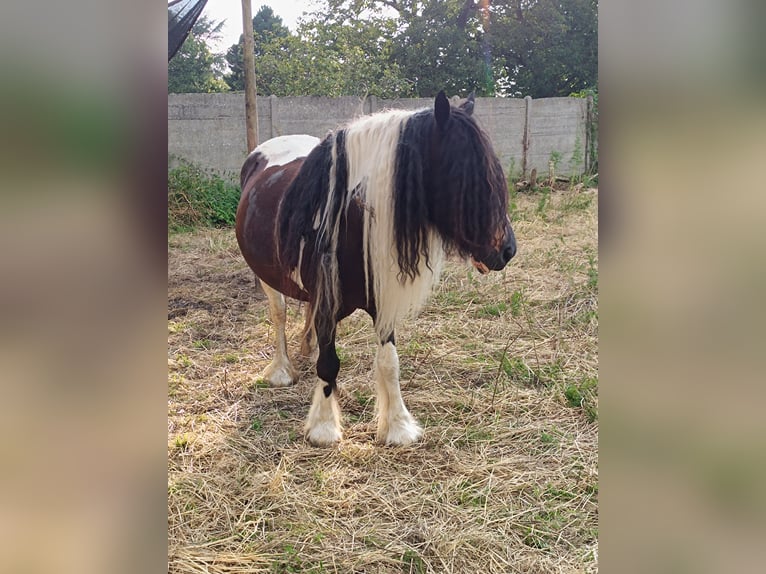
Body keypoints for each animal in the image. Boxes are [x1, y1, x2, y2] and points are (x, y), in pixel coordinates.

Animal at [237, 92, 520, 448]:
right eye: (463, 176)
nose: (507, 250)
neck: (350, 220)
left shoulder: (381, 302)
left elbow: (389, 363)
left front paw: (398, 426)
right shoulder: (327, 302)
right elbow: (328, 363)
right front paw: (324, 426)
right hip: (269, 280)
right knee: (279, 316)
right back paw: (281, 370)